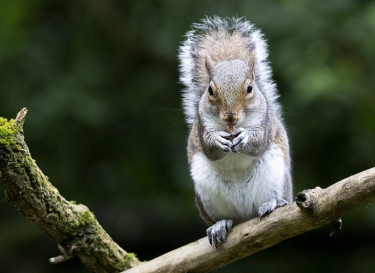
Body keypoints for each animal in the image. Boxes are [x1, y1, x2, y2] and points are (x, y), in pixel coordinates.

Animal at [178, 15, 296, 248]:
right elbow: (209, 146)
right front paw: (218, 140)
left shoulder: (265, 125)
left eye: (250, 88)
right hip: (207, 194)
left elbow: (258, 142)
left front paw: (244, 137)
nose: (230, 117)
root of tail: (245, 216)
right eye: (210, 90)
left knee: (277, 199)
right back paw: (220, 224)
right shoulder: (201, 127)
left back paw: (273, 203)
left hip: (275, 174)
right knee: (225, 217)